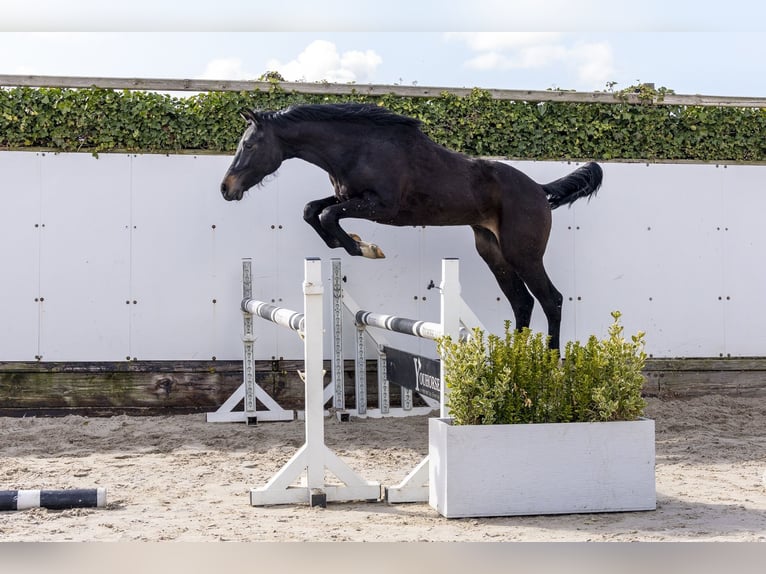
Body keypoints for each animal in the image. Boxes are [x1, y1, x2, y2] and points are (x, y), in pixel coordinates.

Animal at [220, 103, 602, 349]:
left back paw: (549, 363)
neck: (358, 148)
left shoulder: (381, 207)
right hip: (493, 253)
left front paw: (364, 248)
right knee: (522, 302)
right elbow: (312, 210)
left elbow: (327, 215)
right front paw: (352, 243)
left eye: (249, 144)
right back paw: (517, 361)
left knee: (551, 300)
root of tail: (539, 189)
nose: (227, 188)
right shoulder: (350, 196)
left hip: (523, 253)